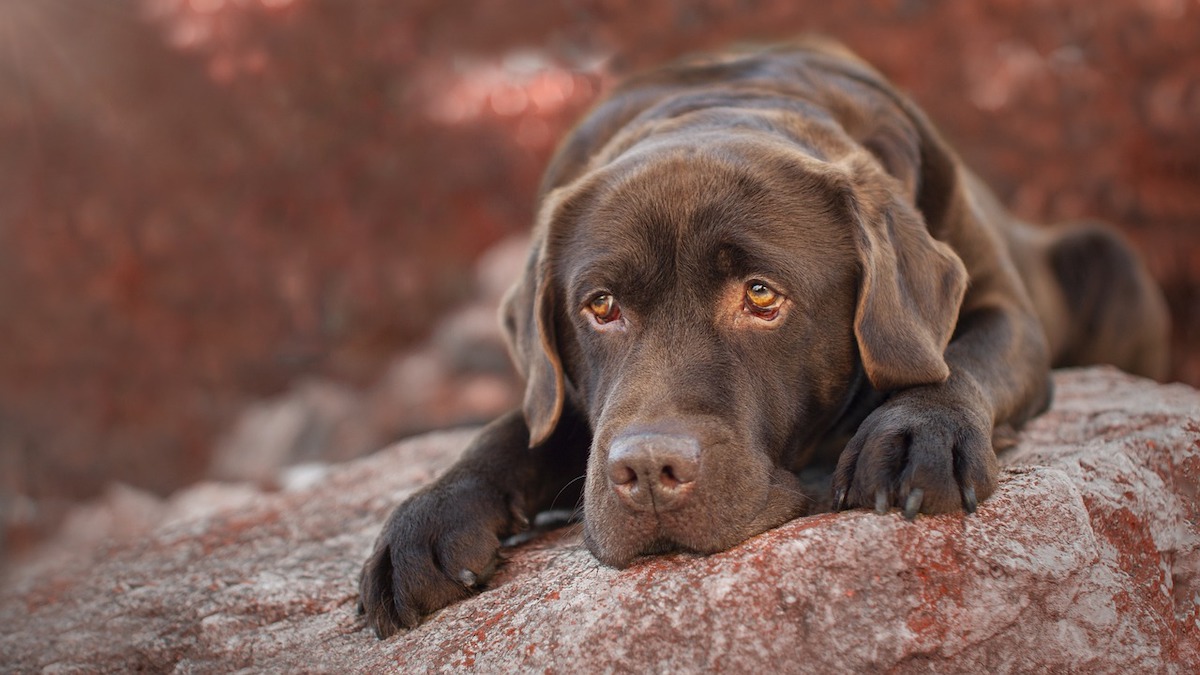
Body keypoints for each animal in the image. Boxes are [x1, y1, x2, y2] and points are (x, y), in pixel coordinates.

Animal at [355, 38, 1171, 634]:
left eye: (760, 295)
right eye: (601, 306)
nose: (647, 471)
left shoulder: (1007, 312)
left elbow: (958, 363)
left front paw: (916, 434)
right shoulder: (567, 402)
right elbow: (512, 430)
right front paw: (423, 522)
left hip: (1112, 256)